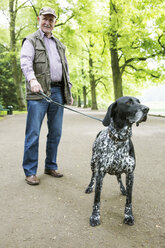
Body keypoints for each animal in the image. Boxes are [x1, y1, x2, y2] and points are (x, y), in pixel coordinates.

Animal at [85, 96, 149, 227]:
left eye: (139, 102)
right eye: (128, 102)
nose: (147, 109)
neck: (119, 139)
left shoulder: (130, 174)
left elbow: (129, 200)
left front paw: (128, 216)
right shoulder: (100, 174)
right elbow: (97, 199)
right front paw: (95, 216)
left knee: (118, 177)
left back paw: (123, 189)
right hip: (92, 162)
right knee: (93, 175)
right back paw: (89, 187)